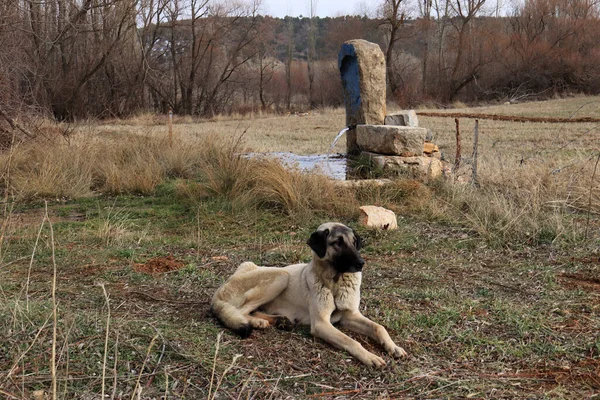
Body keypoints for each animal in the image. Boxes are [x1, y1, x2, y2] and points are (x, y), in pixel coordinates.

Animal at [211, 222, 408, 366]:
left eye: (354, 242)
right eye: (337, 243)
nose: (361, 263)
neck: (335, 283)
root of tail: (219, 292)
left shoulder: (350, 316)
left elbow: (378, 327)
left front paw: (393, 347)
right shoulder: (321, 324)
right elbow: (350, 340)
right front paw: (369, 356)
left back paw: (279, 321)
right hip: (280, 275)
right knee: (241, 311)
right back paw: (258, 322)